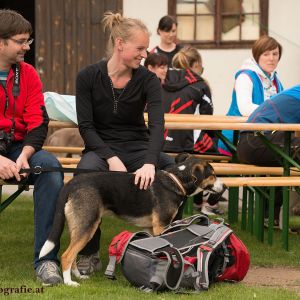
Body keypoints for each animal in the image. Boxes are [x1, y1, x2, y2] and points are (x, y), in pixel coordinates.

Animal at [38, 155, 225, 286]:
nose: (225, 187)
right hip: (88, 225)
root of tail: (72, 183)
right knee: (67, 255)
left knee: (72, 253)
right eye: (213, 175)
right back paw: (69, 282)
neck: (177, 179)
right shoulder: (161, 226)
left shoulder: (152, 228)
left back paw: (78, 276)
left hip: (79, 226)